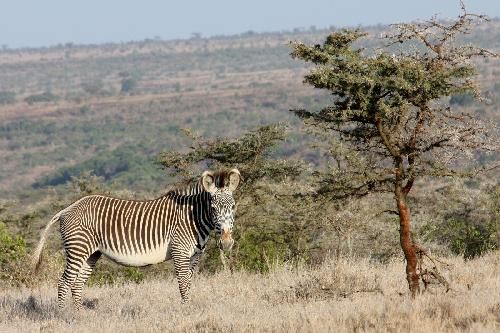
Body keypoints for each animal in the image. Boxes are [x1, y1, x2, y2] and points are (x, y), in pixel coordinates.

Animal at [32, 169, 241, 308]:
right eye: (213, 208)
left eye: (233, 207)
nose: (226, 243)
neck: (193, 218)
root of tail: (67, 209)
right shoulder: (179, 251)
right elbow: (183, 283)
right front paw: (186, 310)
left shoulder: (194, 256)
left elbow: (188, 282)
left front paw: (187, 307)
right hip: (78, 249)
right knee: (64, 282)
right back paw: (64, 315)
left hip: (91, 253)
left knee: (77, 283)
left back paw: (79, 315)